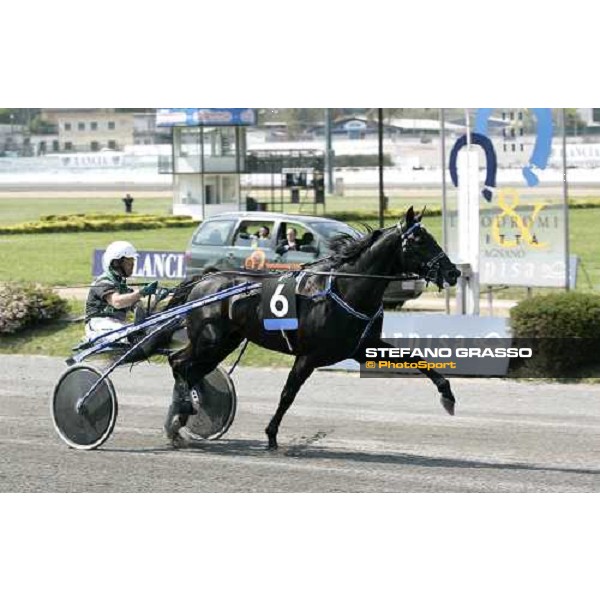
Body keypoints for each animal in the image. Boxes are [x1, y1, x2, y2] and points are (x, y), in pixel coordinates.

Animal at [163, 209, 460, 448]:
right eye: (419, 241)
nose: (453, 272)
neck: (345, 288)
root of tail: (203, 280)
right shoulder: (308, 356)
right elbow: (288, 394)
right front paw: (271, 435)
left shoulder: (362, 347)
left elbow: (414, 358)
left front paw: (447, 395)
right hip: (210, 340)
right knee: (179, 363)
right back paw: (183, 411)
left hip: (223, 342)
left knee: (189, 369)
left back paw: (179, 420)